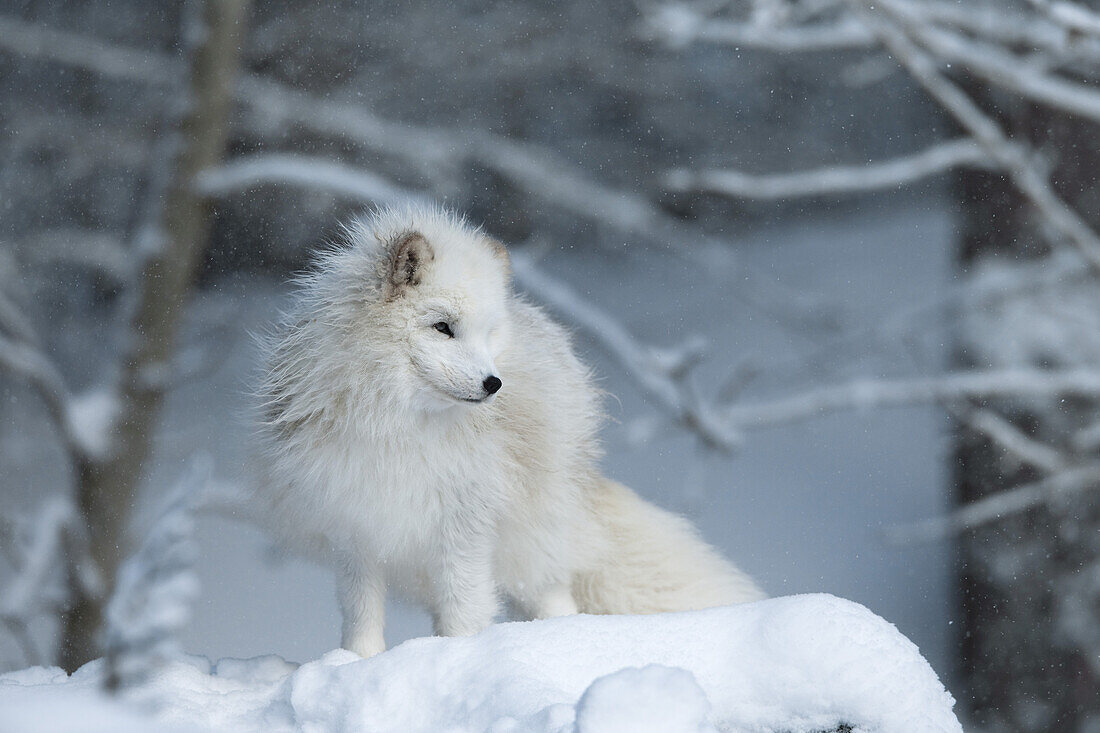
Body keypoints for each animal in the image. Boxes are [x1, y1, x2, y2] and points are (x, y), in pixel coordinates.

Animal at [255, 205, 765, 655]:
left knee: (554, 598)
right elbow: (361, 616)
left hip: (531, 550)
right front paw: (356, 662)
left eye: (488, 333)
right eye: (443, 327)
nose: (493, 383)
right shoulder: (356, 530)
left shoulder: (465, 529)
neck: (399, 427)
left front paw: (457, 656)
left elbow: (465, 612)